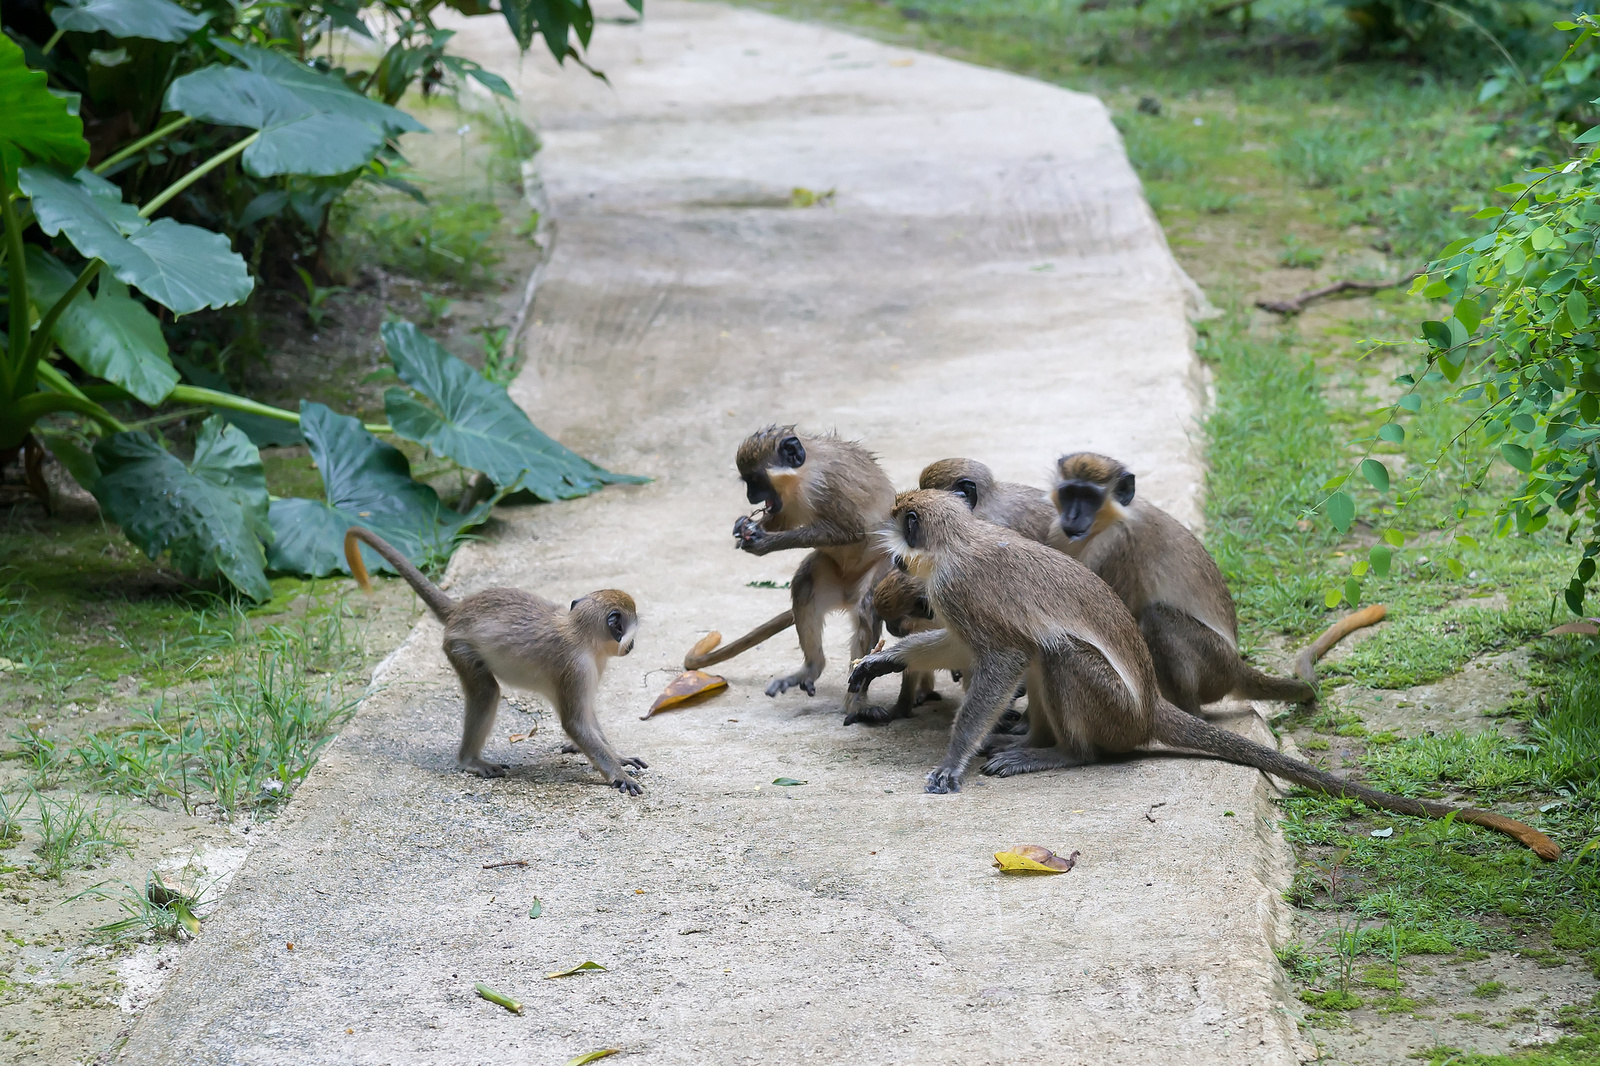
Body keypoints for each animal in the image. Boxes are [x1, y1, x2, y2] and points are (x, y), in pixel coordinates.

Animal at [345, 521, 649, 787]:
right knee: (486, 691)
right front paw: (617, 774)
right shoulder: (577, 667)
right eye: (631, 631)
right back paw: (469, 760)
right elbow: (576, 723)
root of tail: (459, 611)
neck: (580, 633)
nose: (632, 645)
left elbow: (587, 717)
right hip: (459, 647)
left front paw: (618, 756)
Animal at [851, 486, 1561, 857]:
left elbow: (999, 659)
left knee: (1055, 653)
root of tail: (1146, 710)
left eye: (898, 524)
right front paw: (885, 659)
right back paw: (1032, 739)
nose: (884, 544)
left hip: (1113, 710)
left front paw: (952, 760)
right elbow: (968, 650)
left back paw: (1062, 753)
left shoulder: (961, 589)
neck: (955, 544)